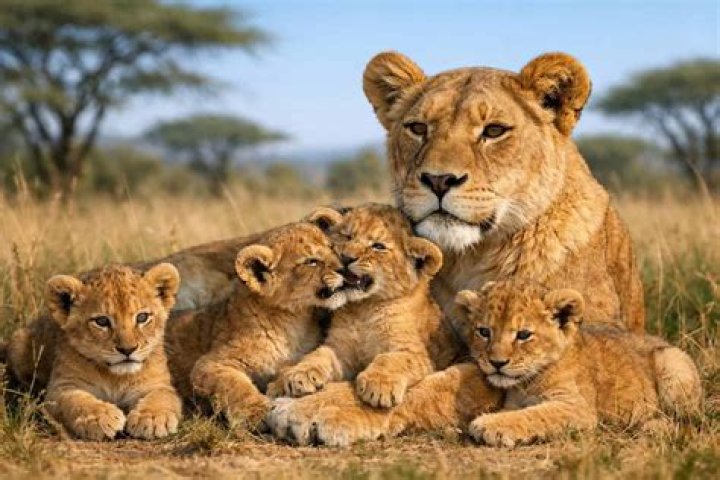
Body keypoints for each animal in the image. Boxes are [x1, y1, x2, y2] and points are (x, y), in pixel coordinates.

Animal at [6, 263, 183, 441]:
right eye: (102, 321)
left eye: (142, 317)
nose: (128, 350)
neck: (115, 377)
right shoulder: (60, 388)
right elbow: (76, 401)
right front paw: (100, 417)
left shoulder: (157, 383)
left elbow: (161, 396)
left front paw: (152, 418)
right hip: (19, 342)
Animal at [165, 221, 347, 428]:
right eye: (312, 261)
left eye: (332, 248)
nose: (345, 269)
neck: (294, 322)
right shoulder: (210, 364)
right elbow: (235, 386)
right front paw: (259, 411)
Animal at [268, 204, 457, 408]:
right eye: (347, 236)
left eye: (378, 246)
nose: (346, 257)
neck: (363, 308)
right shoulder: (339, 348)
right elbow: (318, 355)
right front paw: (299, 374)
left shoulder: (418, 353)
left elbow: (392, 359)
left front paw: (379, 386)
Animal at [454, 280, 702, 447]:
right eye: (484, 332)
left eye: (523, 335)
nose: (497, 362)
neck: (525, 383)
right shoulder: (513, 402)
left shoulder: (577, 407)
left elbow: (534, 414)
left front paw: (487, 425)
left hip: (672, 362)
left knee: (689, 420)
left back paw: (652, 426)